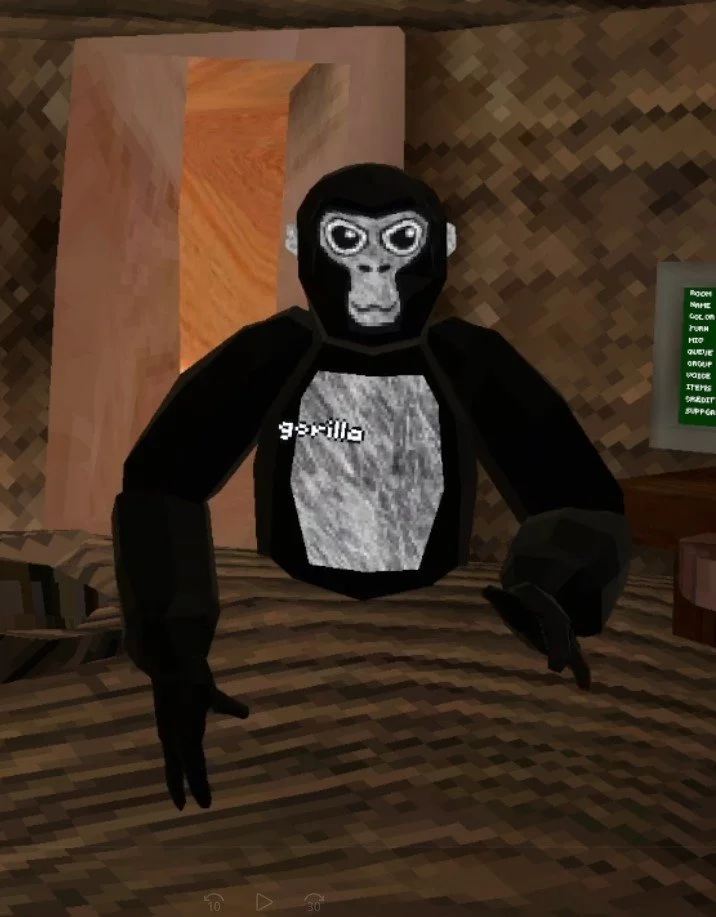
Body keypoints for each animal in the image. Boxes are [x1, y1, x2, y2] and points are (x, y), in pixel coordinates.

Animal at [112, 163, 631, 809]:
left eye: (403, 239)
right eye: (346, 238)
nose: (375, 268)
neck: (371, 351)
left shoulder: (478, 349)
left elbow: (578, 493)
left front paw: (537, 609)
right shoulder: (268, 342)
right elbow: (163, 482)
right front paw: (180, 674)